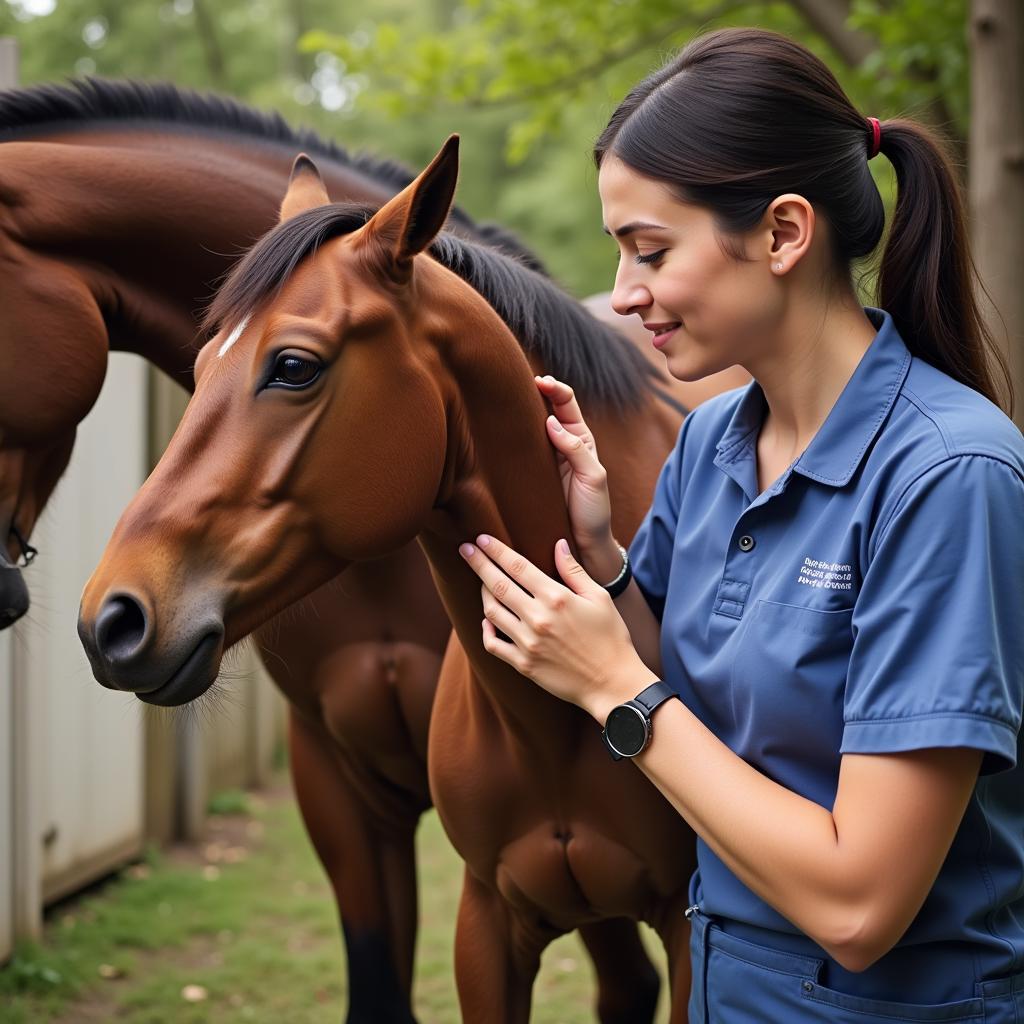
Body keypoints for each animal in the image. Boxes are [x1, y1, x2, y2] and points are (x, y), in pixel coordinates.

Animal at [79, 138, 737, 1024]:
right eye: (202, 360)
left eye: (293, 365)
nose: (113, 619)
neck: (551, 727)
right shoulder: (487, 925)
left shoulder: (689, 931)